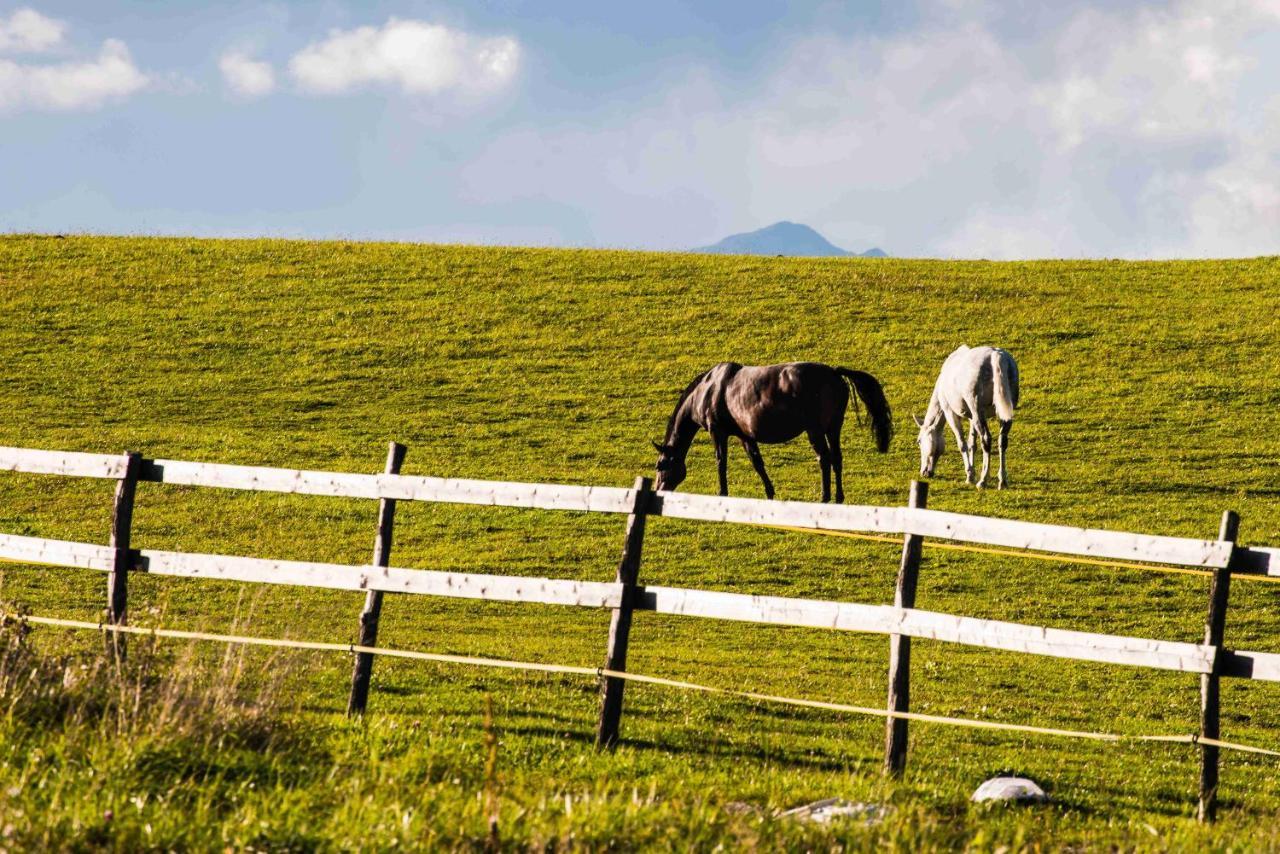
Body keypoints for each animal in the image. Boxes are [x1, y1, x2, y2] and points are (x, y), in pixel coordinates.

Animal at [650, 363, 890, 507]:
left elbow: (721, 462)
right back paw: (838, 498)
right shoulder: (745, 435)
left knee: (824, 459)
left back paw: (824, 497)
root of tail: (833, 373)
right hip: (833, 428)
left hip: (815, 430)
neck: (709, 389)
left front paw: (722, 492)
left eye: (660, 465)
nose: (658, 490)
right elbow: (757, 463)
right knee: (837, 459)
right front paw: (770, 492)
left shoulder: (718, 432)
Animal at [911, 345, 1018, 486]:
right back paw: (1002, 480)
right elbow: (972, 443)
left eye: (919, 441)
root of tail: (996, 355)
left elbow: (962, 443)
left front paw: (970, 475)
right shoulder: (972, 417)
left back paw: (983, 481)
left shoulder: (950, 412)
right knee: (1002, 441)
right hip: (1002, 415)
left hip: (977, 409)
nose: (924, 472)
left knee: (986, 439)